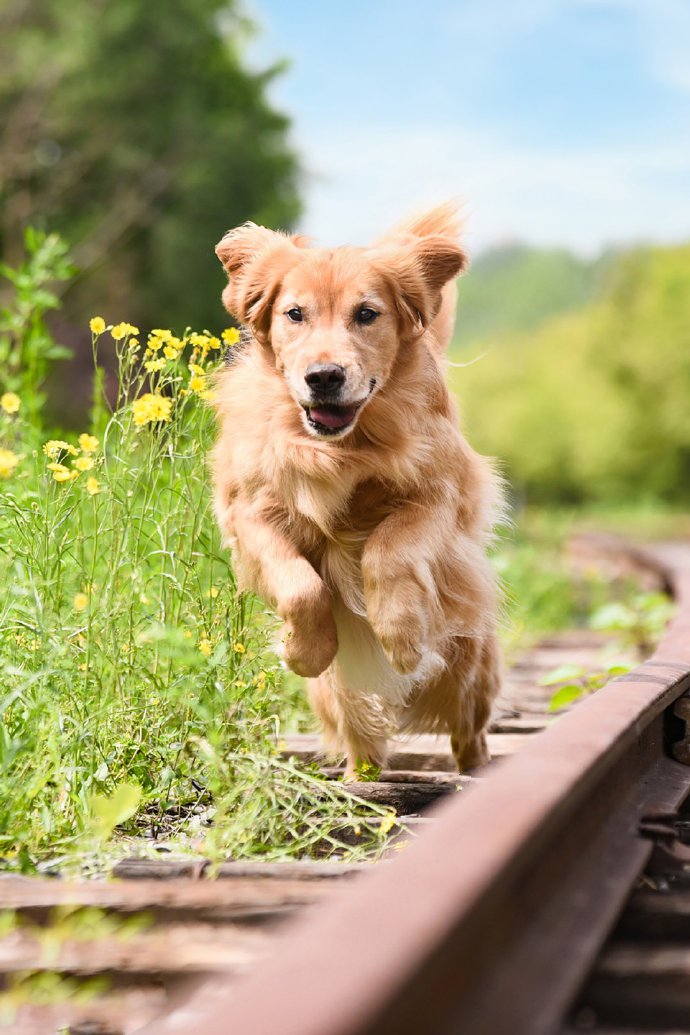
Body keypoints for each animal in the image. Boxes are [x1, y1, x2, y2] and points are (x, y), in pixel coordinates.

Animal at [211, 201, 502, 774]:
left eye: (367, 314)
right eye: (294, 314)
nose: (324, 375)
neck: (342, 450)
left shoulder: (439, 495)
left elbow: (388, 550)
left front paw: (403, 639)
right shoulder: (249, 509)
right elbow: (300, 584)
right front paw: (303, 649)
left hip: (469, 672)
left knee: (470, 731)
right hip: (337, 697)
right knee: (361, 734)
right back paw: (358, 776)